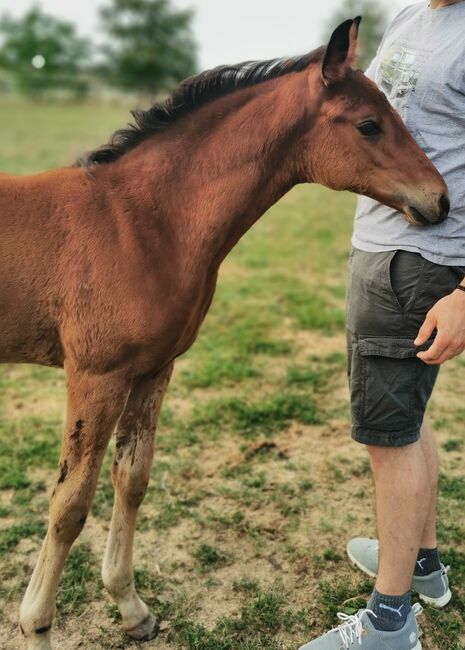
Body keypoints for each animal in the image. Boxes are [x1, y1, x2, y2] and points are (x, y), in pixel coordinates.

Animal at [1, 17, 448, 644]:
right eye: (368, 124)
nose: (441, 199)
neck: (139, 223)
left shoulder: (153, 368)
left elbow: (131, 480)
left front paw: (132, 608)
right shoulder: (96, 374)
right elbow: (70, 502)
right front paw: (38, 626)